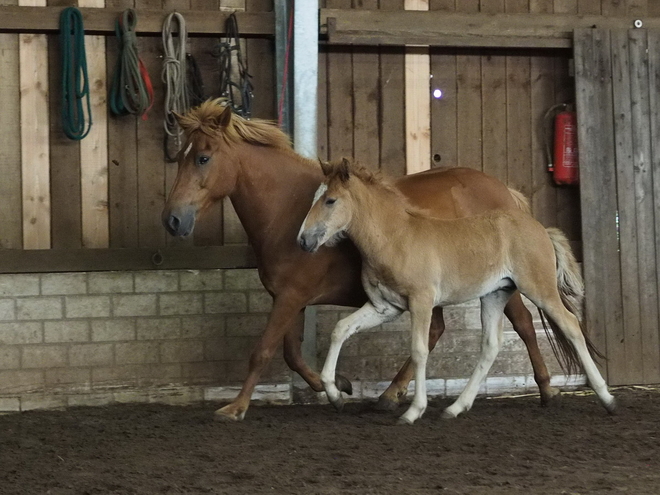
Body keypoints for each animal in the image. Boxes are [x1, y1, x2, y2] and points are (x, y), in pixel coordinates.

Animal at [160, 101, 556, 422]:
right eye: (178, 158)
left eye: (203, 157)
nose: (173, 220)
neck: (288, 211)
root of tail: (505, 191)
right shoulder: (290, 299)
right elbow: (292, 354)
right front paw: (337, 387)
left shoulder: (291, 297)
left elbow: (264, 351)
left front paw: (237, 407)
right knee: (436, 332)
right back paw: (391, 395)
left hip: (503, 284)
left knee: (523, 323)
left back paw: (545, 388)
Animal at [300, 160, 612, 426]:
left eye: (330, 200)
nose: (303, 240)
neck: (395, 237)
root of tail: (541, 228)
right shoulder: (385, 307)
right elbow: (341, 329)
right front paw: (335, 395)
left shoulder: (421, 301)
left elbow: (419, 350)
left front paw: (413, 412)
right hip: (495, 294)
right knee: (491, 344)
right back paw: (455, 408)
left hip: (539, 288)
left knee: (570, 326)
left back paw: (606, 398)